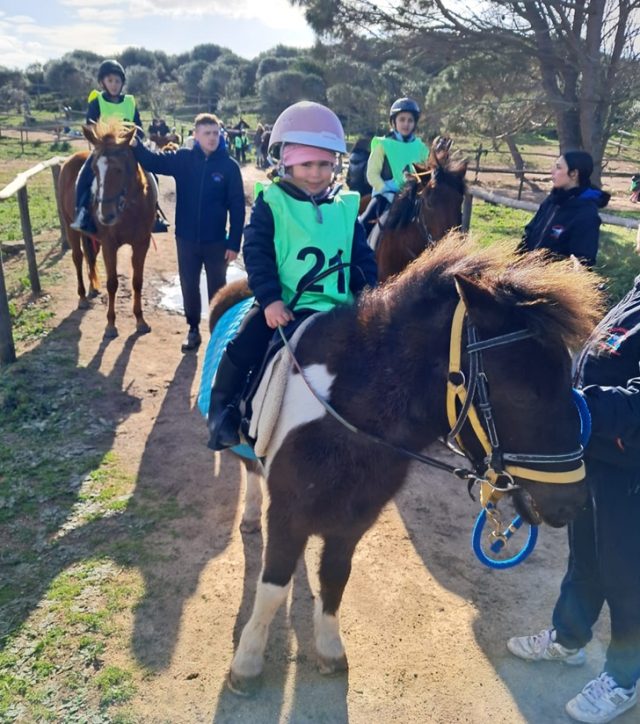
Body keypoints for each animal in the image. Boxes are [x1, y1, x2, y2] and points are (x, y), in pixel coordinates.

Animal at [59, 119, 157, 338]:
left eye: (119, 169)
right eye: (95, 170)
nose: (106, 215)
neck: (129, 209)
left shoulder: (142, 243)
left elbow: (137, 281)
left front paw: (140, 320)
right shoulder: (109, 245)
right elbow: (112, 283)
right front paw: (111, 325)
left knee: (90, 256)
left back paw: (92, 289)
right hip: (70, 228)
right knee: (78, 257)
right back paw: (82, 297)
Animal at [206, 233, 603, 693]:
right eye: (525, 395)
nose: (574, 502)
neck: (348, 418)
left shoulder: (353, 520)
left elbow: (335, 578)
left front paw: (329, 649)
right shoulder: (289, 513)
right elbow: (272, 587)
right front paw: (248, 662)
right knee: (249, 469)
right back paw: (251, 515)